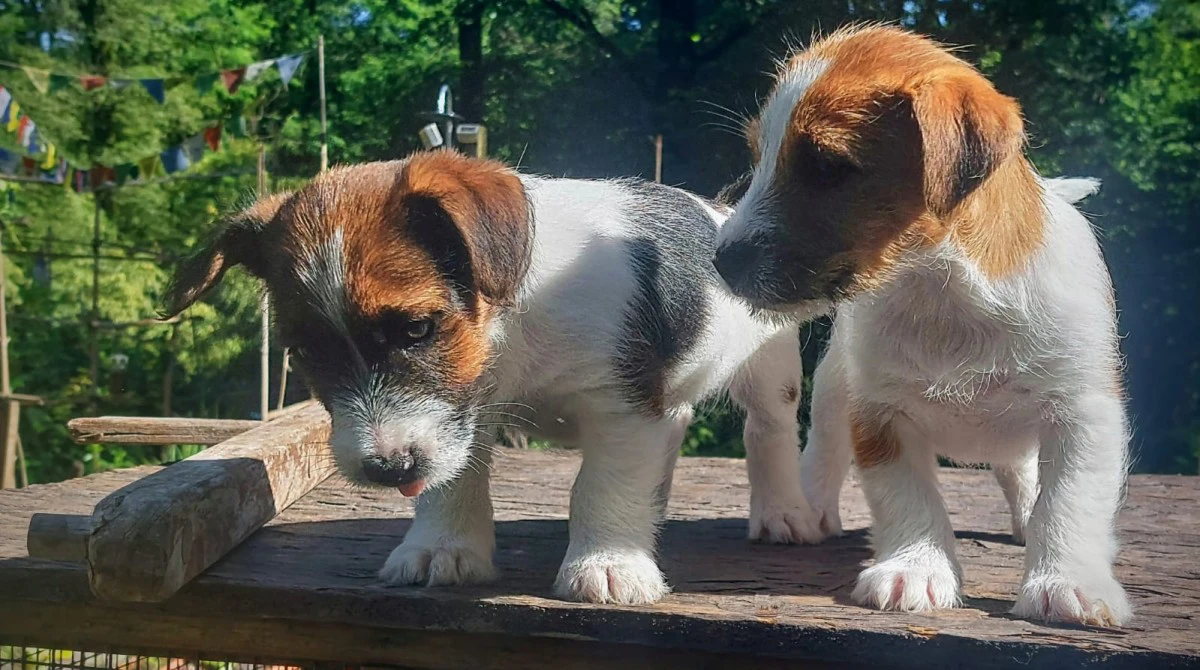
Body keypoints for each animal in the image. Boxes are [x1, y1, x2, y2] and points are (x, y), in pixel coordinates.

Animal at [164, 149, 820, 607]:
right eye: (303, 351)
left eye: (418, 329)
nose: (387, 470)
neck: (512, 324)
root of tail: (721, 208)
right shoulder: (459, 417)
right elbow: (450, 479)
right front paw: (442, 548)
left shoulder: (622, 407)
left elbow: (603, 485)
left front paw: (607, 564)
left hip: (772, 371)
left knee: (769, 432)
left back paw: (783, 512)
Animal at [710, 23, 1132, 629]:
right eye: (757, 155)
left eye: (826, 166)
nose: (719, 261)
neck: (942, 290)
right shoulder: (882, 415)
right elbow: (909, 497)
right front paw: (915, 568)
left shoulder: (1083, 412)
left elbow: (1070, 501)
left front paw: (1067, 583)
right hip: (837, 387)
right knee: (825, 447)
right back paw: (810, 506)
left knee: (1021, 470)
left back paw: (1025, 516)